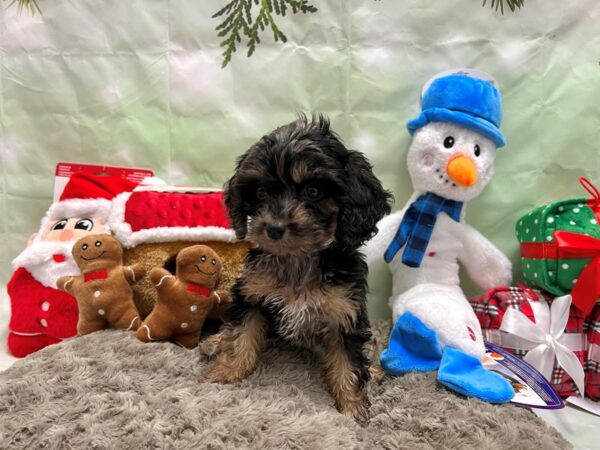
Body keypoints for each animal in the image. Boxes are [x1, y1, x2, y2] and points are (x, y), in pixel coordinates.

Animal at [205, 114, 394, 420]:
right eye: (260, 193)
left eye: (313, 191)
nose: (274, 228)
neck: (298, 258)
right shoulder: (252, 293)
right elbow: (240, 336)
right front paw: (225, 373)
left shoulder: (345, 311)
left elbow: (349, 364)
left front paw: (352, 408)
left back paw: (375, 370)